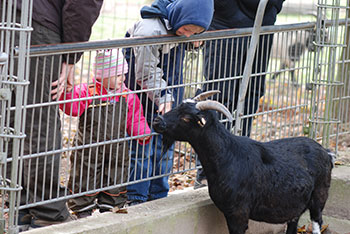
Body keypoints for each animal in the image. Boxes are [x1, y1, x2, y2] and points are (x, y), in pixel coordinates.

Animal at [153, 90, 334, 233]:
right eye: (177, 107)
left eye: (186, 118)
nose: (157, 121)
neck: (227, 155)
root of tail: (326, 152)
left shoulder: (238, 214)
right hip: (295, 203)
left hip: (319, 195)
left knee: (317, 221)